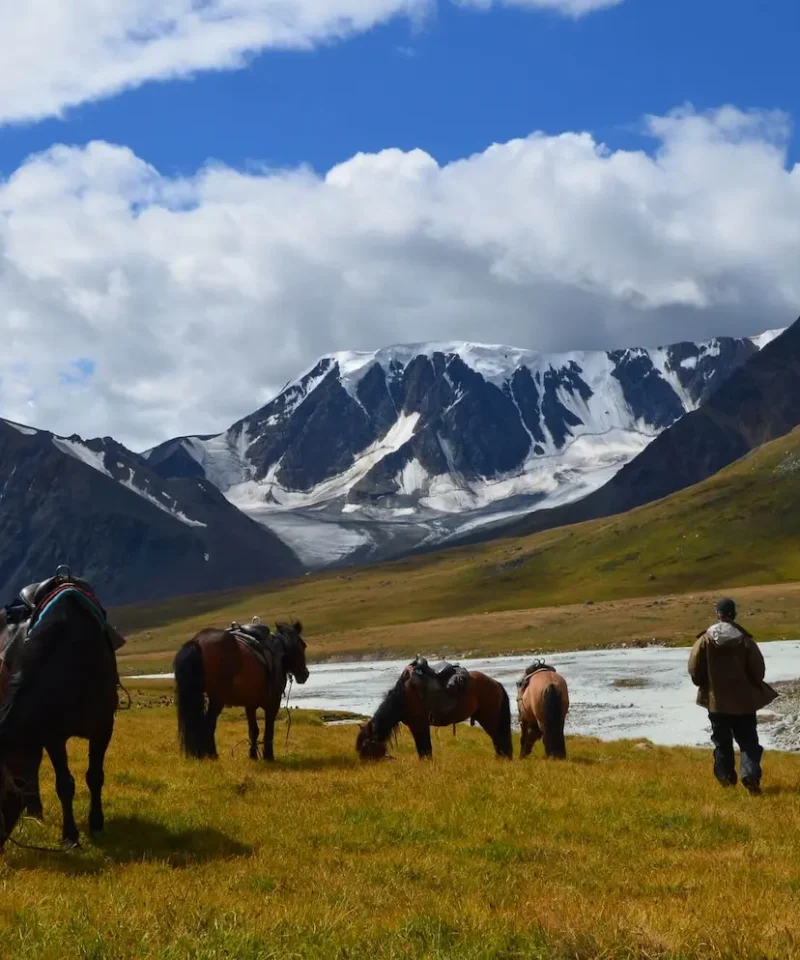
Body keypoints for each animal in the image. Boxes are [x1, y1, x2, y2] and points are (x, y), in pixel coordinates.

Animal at [0, 588, 118, 850]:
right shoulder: (52, 735)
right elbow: (64, 784)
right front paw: (70, 836)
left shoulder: (103, 729)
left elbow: (95, 776)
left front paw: (96, 824)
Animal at [174, 620, 309, 762]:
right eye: (303, 645)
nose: (305, 674)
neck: (278, 652)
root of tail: (197, 641)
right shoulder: (273, 703)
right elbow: (268, 730)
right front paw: (268, 756)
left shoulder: (250, 705)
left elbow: (253, 730)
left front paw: (253, 755)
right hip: (217, 698)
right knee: (208, 723)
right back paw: (212, 754)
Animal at [355, 661, 512, 760]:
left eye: (366, 746)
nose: (365, 765)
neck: (404, 696)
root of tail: (495, 683)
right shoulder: (415, 725)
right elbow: (422, 748)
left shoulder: (419, 724)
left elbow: (424, 748)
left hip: (490, 719)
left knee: (499, 739)